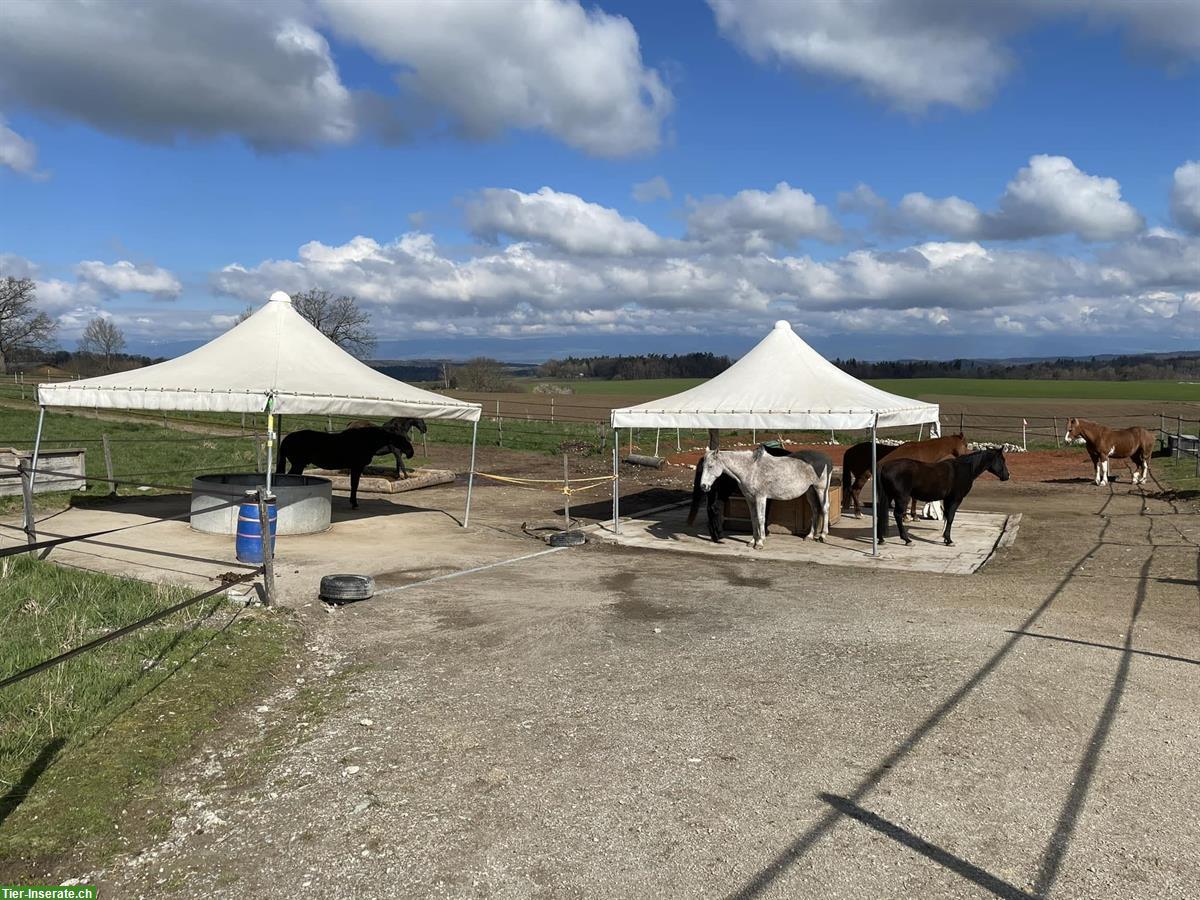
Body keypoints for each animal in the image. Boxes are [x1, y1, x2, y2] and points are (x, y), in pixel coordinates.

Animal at [278, 427, 415, 508]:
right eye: (402, 439)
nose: (411, 453)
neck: (365, 440)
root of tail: (286, 440)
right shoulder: (357, 467)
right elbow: (354, 484)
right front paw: (354, 503)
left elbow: (354, 484)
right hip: (298, 464)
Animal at [700, 448, 830, 554]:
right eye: (703, 466)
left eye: (710, 466)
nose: (703, 486)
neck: (751, 469)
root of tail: (827, 459)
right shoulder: (750, 499)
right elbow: (754, 519)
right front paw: (753, 541)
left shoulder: (760, 498)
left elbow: (761, 518)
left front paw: (760, 543)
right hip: (810, 491)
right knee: (815, 510)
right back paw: (810, 536)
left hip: (821, 489)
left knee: (824, 508)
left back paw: (822, 536)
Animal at [840, 434, 969, 518]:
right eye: (966, 445)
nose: (968, 456)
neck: (922, 453)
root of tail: (849, 450)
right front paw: (906, 516)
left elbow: (914, 499)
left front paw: (912, 515)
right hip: (862, 475)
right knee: (855, 490)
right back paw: (858, 513)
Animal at [878, 448, 1008, 547]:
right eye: (1002, 460)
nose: (1007, 476)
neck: (964, 468)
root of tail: (884, 467)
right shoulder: (956, 499)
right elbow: (950, 518)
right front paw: (949, 540)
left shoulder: (947, 499)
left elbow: (946, 517)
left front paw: (945, 538)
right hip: (901, 498)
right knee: (898, 515)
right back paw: (907, 540)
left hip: (889, 497)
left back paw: (881, 539)